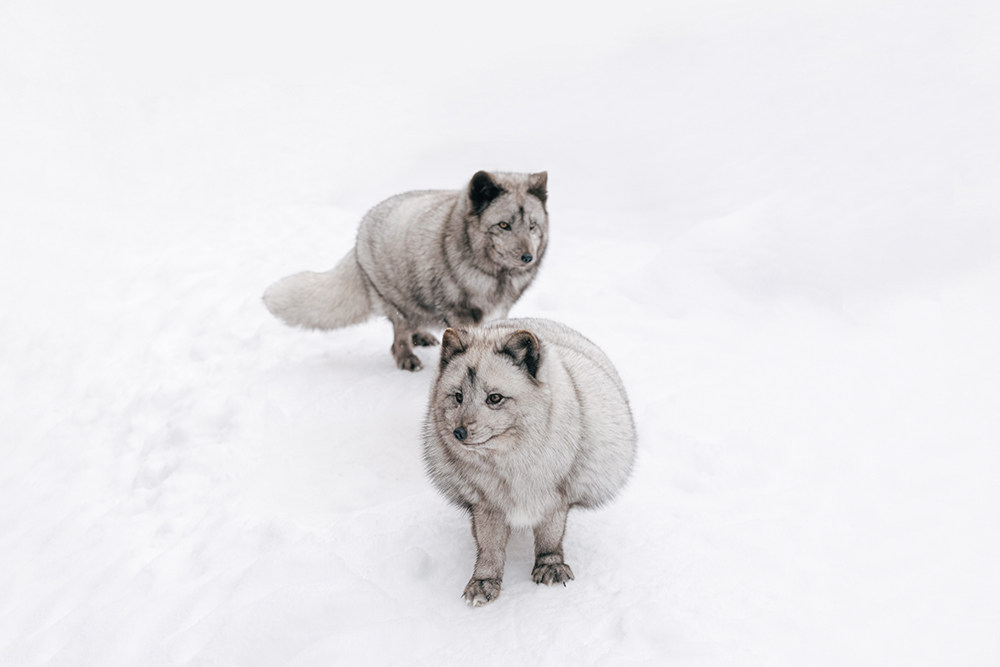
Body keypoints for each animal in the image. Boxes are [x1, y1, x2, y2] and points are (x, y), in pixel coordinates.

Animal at [262, 171, 552, 370]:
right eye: (503, 225)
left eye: (532, 226)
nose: (528, 257)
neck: (494, 277)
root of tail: (362, 227)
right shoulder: (459, 313)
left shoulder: (498, 311)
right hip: (395, 300)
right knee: (398, 335)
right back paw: (407, 357)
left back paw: (421, 336)